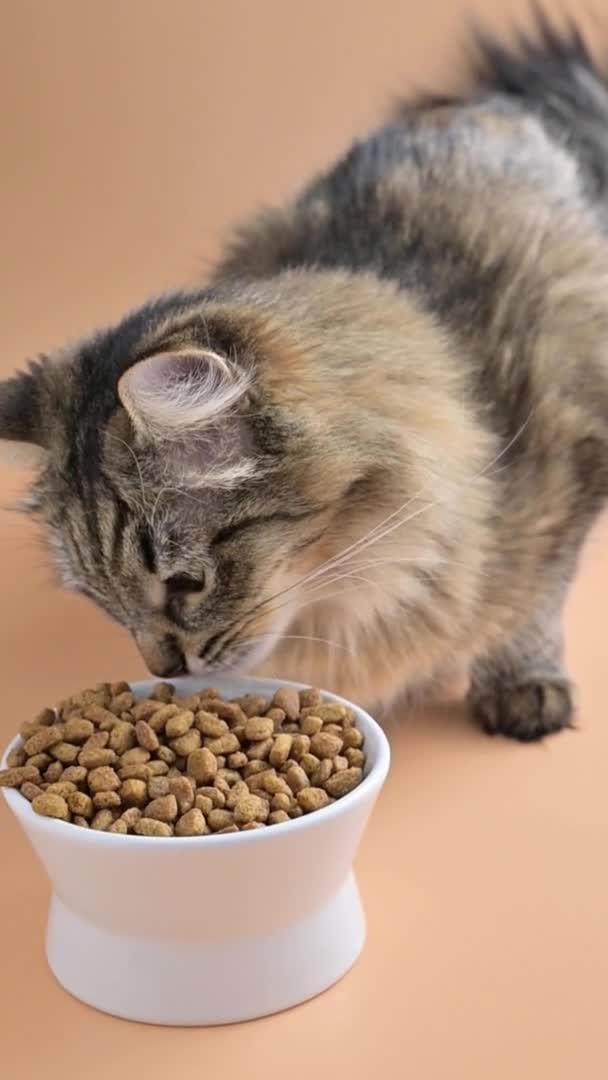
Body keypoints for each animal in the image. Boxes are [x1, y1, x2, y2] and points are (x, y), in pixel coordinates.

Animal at [1, 16, 608, 738]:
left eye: (185, 585)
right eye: (103, 600)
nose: (162, 669)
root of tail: (490, 106)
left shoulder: (573, 450)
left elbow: (532, 602)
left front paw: (522, 683)